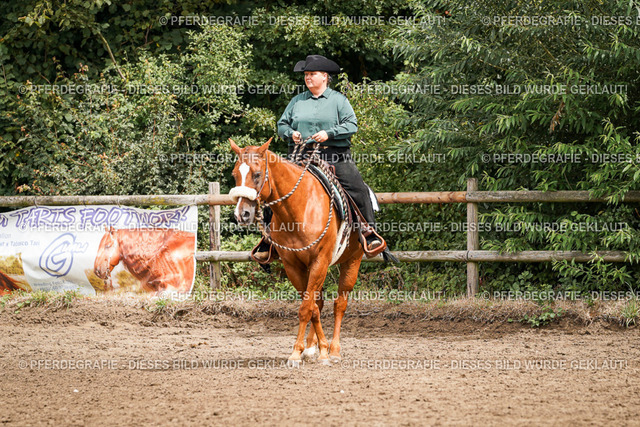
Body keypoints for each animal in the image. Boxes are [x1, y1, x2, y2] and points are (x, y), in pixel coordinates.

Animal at [230, 138, 365, 365]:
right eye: (234, 174)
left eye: (256, 174)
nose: (242, 214)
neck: (299, 209)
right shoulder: (293, 266)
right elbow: (311, 307)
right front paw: (312, 349)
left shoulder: (320, 261)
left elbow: (306, 308)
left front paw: (306, 353)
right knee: (319, 302)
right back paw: (313, 348)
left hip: (352, 260)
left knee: (340, 304)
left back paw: (335, 350)